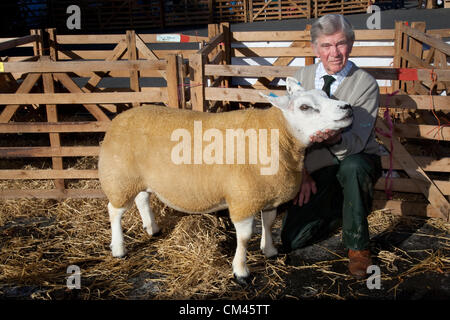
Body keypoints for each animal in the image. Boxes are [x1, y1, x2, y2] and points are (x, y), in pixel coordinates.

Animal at [99, 77, 356, 282]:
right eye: (305, 107)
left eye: (326, 94)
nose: (347, 107)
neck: (278, 135)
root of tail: (117, 120)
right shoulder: (243, 200)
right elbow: (244, 237)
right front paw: (241, 271)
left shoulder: (268, 196)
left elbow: (269, 222)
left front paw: (269, 250)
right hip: (119, 178)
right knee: (114, 211)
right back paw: (119, 248)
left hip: (138, 177)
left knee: (142, 199)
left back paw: (152, 228)